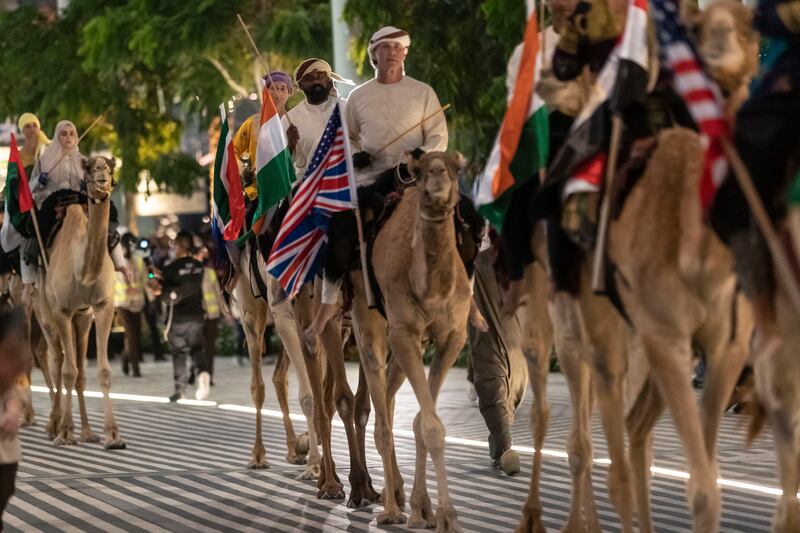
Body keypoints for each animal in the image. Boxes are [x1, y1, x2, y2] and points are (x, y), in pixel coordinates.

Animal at [42, 155, 125, 448]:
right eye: (89, 167)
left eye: (110, 165)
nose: (101, 173)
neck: (82, 271)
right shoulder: (62, 310)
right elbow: (68, 370)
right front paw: (66, 432)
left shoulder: (101, 306)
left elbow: (101, 370)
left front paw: (113, 435)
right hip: (42, 309)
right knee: (55, 359)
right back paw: (55, 427)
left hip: (82, 318)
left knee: (77, 370)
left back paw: (87, 431)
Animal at [230, 244, 320, 474]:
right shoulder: (284, 315)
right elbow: (310, 395)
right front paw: (315, 464)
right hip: (251, 310)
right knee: (258, 384)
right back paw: (258, 456)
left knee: (279, 377)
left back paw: (293, 449)